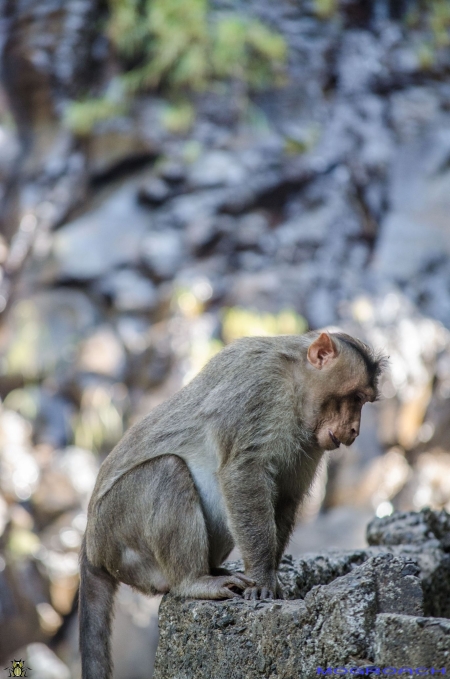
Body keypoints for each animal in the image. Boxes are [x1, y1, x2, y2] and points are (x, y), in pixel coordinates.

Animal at [79, 330, 384, 679]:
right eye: (355, 397)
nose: (354, 431)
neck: (294, 382)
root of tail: (91, 546)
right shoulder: (258, 390)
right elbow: (243, 473)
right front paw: (263, 577)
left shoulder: (310, 442)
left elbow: (286, 496)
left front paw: (271, 578)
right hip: (116, 530)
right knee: (166, 471)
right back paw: (194, 581)